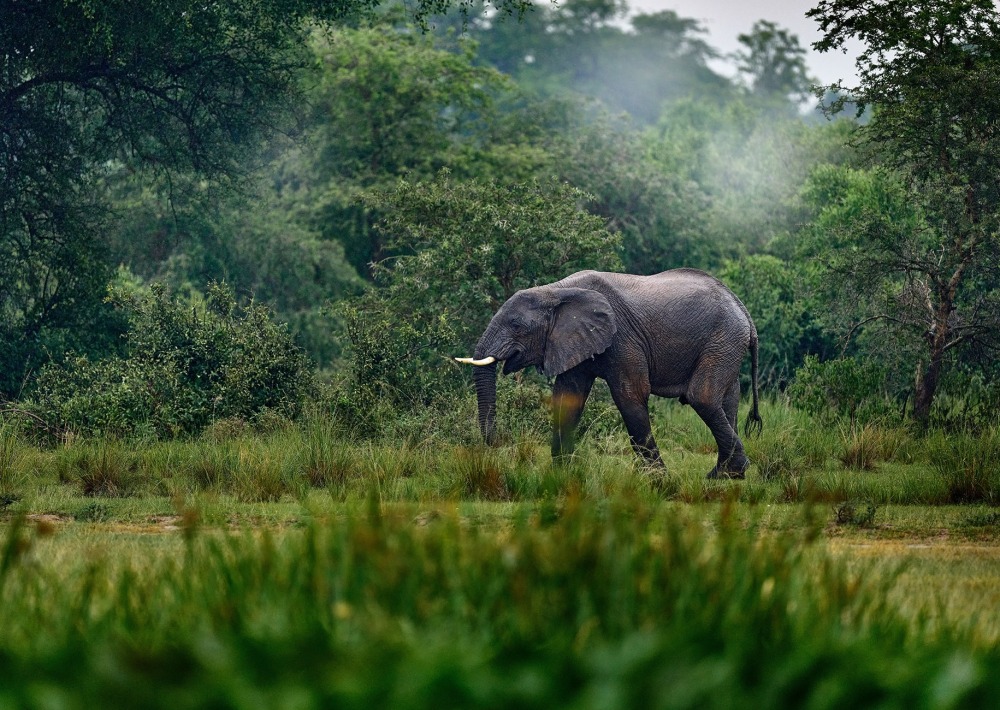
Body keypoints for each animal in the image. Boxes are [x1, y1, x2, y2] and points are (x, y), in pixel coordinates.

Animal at [458, 270, 760, 482]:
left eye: (516, 325)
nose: (498, 442)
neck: (555, 290)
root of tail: (743, 309)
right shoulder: (573, 339)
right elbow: (567, 398)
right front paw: (562, 475)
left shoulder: (622, 338)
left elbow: (630, 396)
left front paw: (659, 480)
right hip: (727, 343)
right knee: (727, 400)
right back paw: (726, 475)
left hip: (723, 338)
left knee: (703, 397)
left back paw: (727, 473)